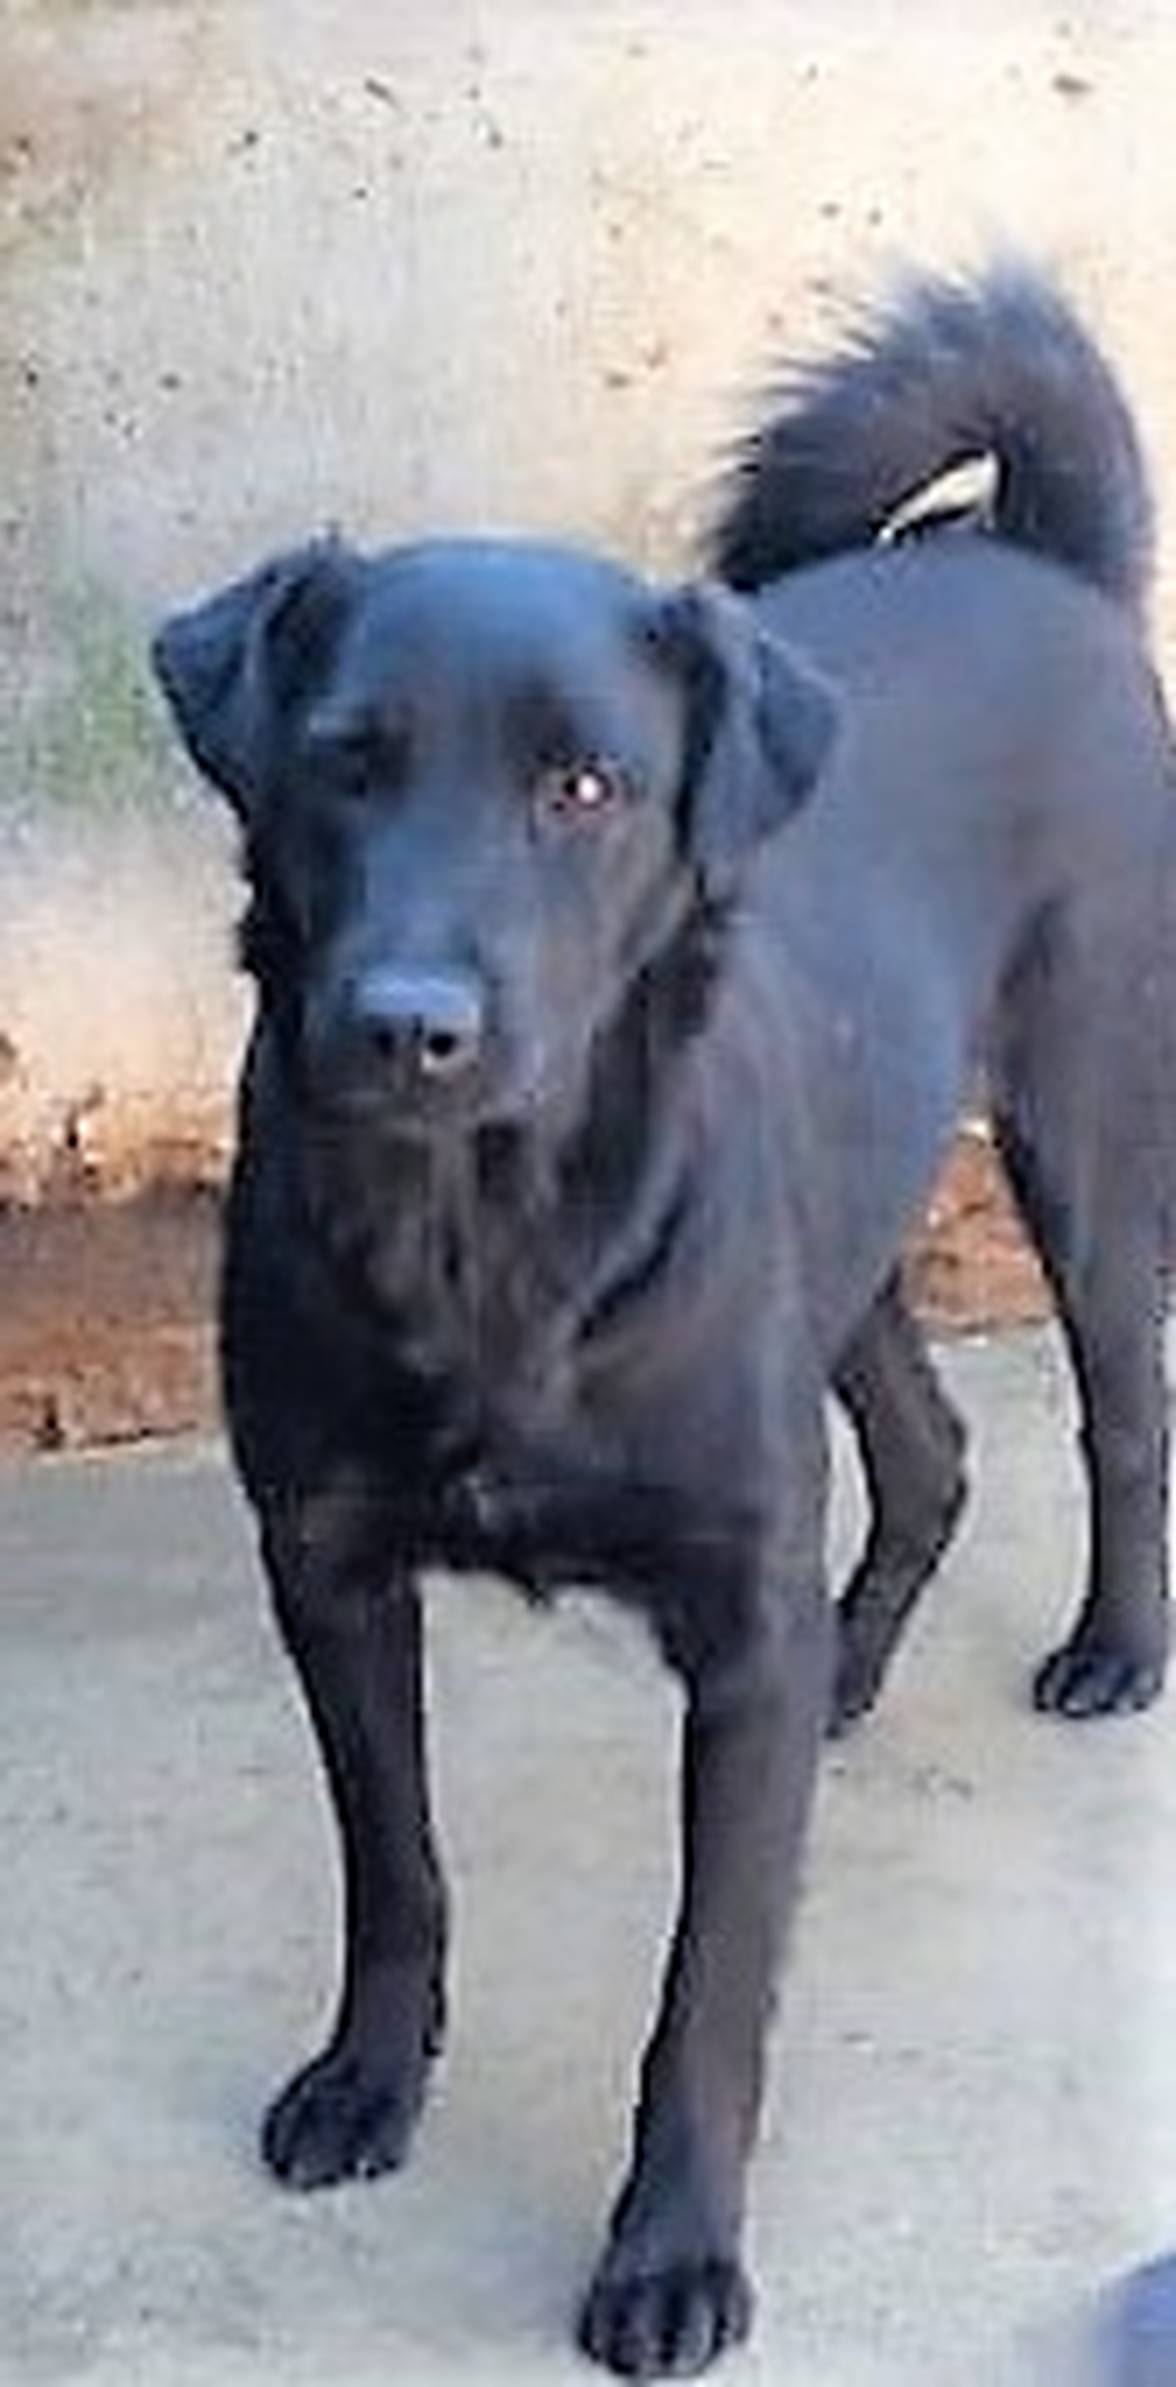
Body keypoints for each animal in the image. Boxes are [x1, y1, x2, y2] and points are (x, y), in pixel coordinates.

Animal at [153, 267, 1174, 2378]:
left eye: (583, 787)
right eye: (344, 762)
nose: (407, 1026)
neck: (479, 1239)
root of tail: (1031, 557)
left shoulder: (724, 1595)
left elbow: (708, 1988)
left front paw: (669, 2253)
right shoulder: (329, 1569)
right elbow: (395, 1866)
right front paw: (371, 2078)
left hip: (1087, 1125)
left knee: (1125, 1408)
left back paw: (1116, 1646)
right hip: (840, 1236)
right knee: (931, 1449)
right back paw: (855, 1662)